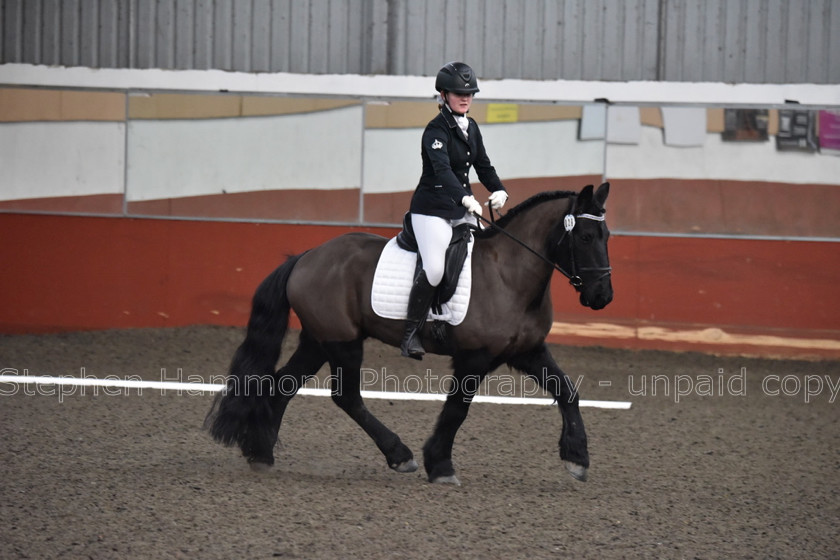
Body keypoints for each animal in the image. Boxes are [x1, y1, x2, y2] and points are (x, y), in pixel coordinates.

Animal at [203, 184, 612, 486]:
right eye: (586, 236)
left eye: (606, 235)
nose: (602, 297)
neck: (509, 275)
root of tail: (305, 256)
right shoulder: (474, 357)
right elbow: (456, 410)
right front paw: (440, 465)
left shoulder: (526, 351)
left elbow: (567, 391)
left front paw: (577, 458)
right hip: (342, 342)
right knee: (346, 396)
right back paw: (400, 455)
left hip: (319, 340)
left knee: (283, 384)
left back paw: (261, 453)